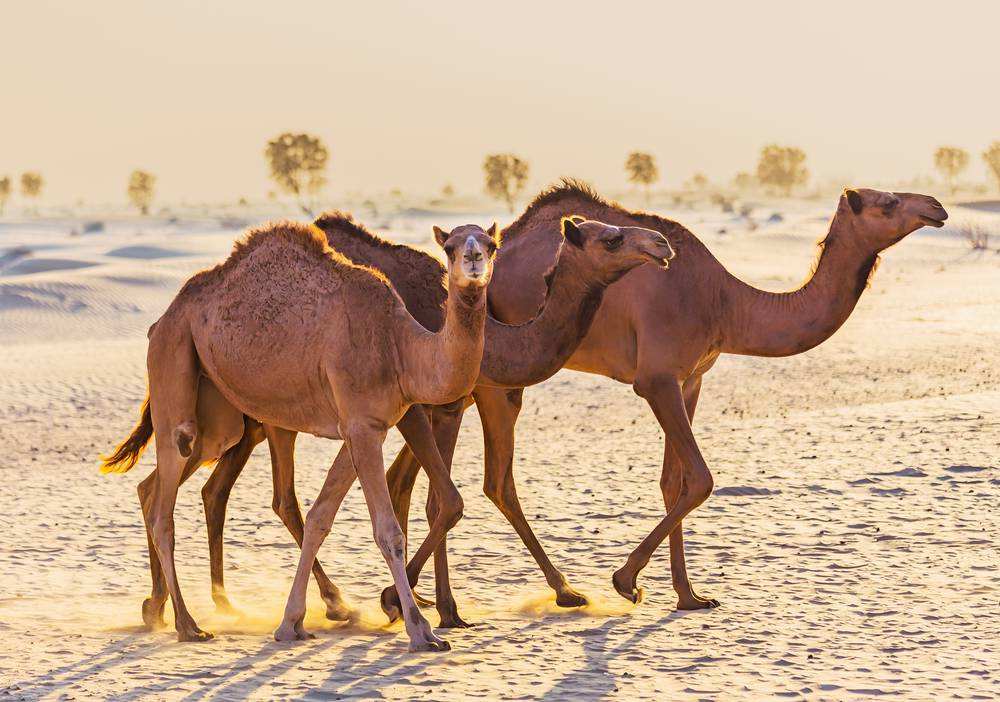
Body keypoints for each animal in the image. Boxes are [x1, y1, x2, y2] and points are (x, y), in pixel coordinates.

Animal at [100, 221, 500, 656]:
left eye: (491, 244)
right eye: (450, 247)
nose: (473, 258)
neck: (400, 347)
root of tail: (161, 321)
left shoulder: (364, 426)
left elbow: (320, 517)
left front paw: (295, 621)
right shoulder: (362, 427)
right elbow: (387, 532)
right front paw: (421, 630)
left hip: (217, 416)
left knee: (153, 486)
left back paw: (159, 609)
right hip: (173, 362)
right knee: (164, 507)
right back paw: (188, 625)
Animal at [191, 209, 676, 628]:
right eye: (611, 238)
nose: (661, 243)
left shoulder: (429, 407)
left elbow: (417, 493)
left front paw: (422, 600)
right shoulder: (436, 407)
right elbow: (443, 501)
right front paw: (429, 605)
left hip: (252, 420)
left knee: (218, 489)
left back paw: (222, 602)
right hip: (269, 412)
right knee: (278, 497)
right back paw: (328, 603)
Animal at [384, 182, 952, 616]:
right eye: (886, 202)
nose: (936, 206)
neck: (726, 302)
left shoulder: (691, 379)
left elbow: (672, 481)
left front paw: (689, 595)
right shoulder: (656, 378)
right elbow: (700, 478)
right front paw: (626, 581)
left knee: (416, 476)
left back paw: (433, 599)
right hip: (487, 384)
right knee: (478, 484)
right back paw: (467, 604)